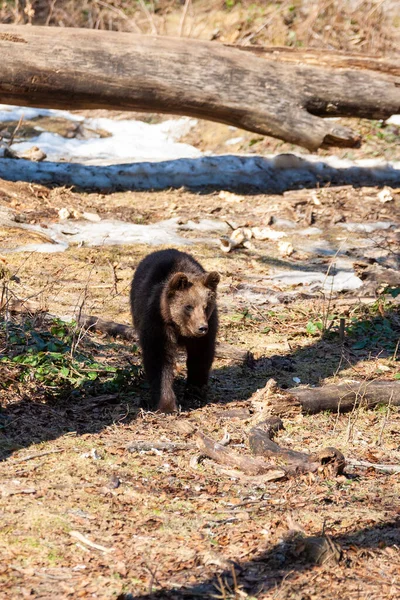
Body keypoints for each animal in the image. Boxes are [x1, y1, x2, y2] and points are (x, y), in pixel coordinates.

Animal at [130, 248, 219, 412]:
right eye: (189, 306)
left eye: (206, 306)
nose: (202, 327)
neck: (180, 328)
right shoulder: (158, 325)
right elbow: (159, 360)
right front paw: (166, 405)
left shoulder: (207, 330)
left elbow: (200, 356)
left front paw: (195, 393)